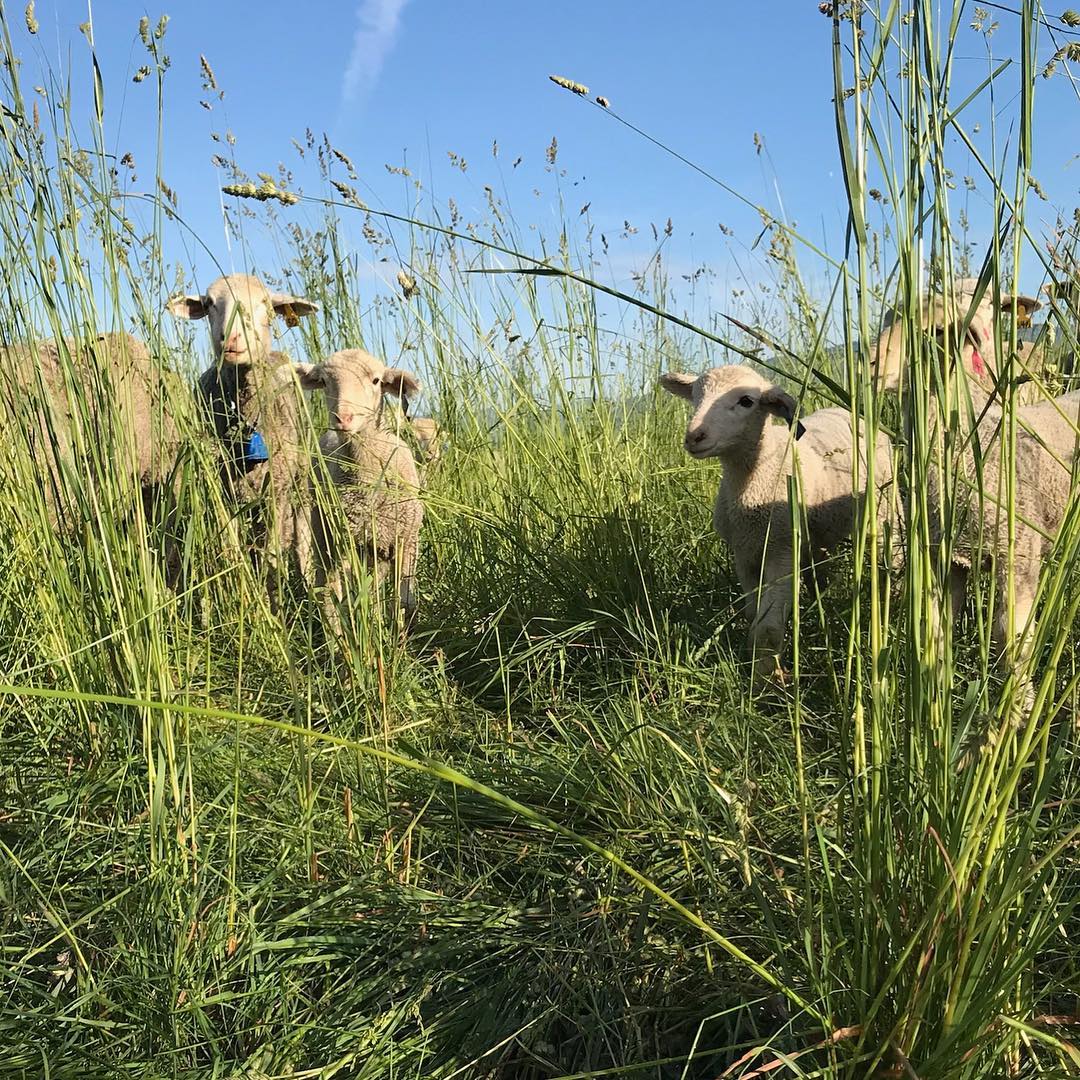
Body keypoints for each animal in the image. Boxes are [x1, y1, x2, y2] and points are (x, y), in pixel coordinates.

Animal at [167, 273, 317, 606]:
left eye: (264, 303)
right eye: (210, 303)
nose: (233, 339)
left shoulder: (276, 492)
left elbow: (271, 555)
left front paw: (270, 603)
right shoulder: (221, 492)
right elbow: (230, 551)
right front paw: (243, 599)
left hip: (300, 479)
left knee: (299, 536)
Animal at [294, 349, 424, 628]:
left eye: (376, 381)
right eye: (323, 381)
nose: (343, 418)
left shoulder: (407, 539)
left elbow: (404, 601)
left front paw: (400, 634)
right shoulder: (350, 543)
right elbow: (354, 598)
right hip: (326, 534)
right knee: (329, 588)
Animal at [661, 364, 894, 685]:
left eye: (746, 401)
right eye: (695, 395)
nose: (694, 436)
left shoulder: (781, 550)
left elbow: (768, 627)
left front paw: (767, 679)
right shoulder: (744, 553)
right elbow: (752, 614)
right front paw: (757, 664)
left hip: (883, 510)